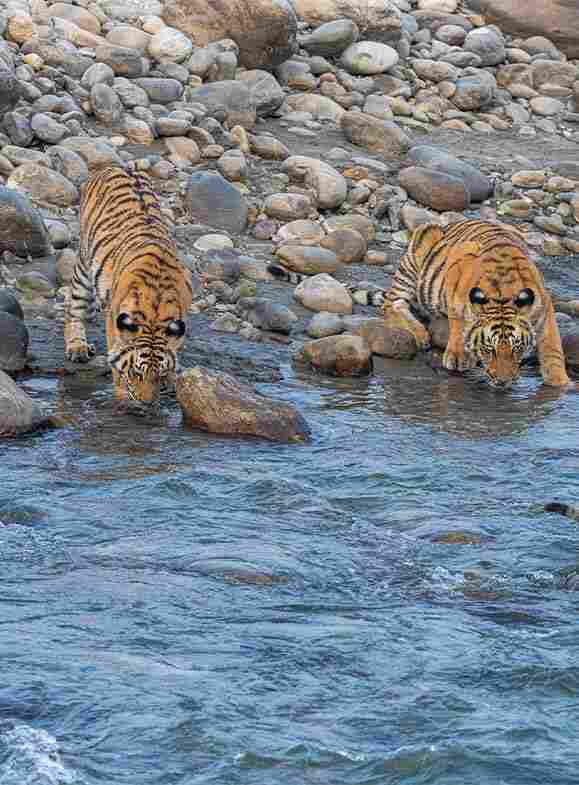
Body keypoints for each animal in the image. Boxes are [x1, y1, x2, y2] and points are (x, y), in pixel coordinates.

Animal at [64, 165, 193, 404]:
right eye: (135, 372)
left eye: (159, 374)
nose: (147, 403)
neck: (154, 314)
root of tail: (118, 165)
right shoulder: (113, 321)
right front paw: (122, 394)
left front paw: (172, 381)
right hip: (84, 265)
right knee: (74, 307)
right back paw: (77, 347)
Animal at [348, 219, 572, 388]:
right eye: (489, 350)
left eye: (516, 349)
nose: (503, 382)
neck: (504, 294)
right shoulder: (458, 265)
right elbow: (458, 318)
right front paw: (458, 356)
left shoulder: (544, 309)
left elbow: (553, 348)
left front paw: (560, 383)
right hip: (417, 252)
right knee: (391, 304)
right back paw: (420, 334)